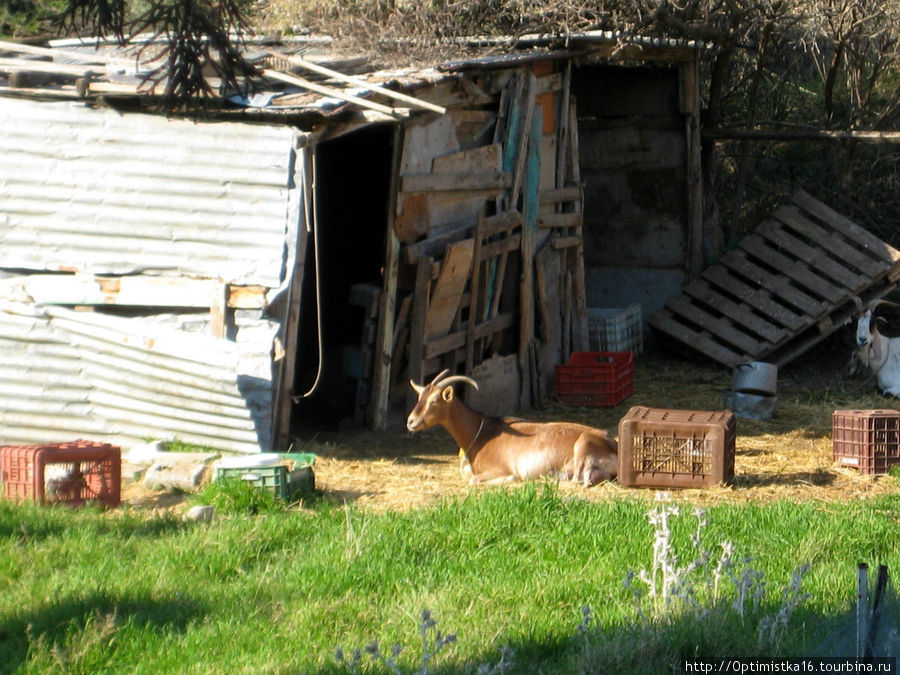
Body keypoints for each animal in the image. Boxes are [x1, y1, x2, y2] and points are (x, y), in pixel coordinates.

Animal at [408, 370, 620, 486]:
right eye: (419, 397)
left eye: (434, 401)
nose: (411, 421)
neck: (479, 431)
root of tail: (614, 445)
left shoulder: (498, 468)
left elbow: (474, 479)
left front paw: (513, 478)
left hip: (582, 446)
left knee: (579, 479)